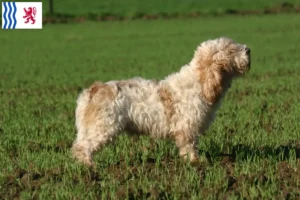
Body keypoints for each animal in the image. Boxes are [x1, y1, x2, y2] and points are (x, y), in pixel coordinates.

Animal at [71, 37, 251, 166]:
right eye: (231, 49)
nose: (249, 49)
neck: (199, 81)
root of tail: (92, 90)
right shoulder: (187, 128)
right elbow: (189, 146)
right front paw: (195, 162)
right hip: (103, 127)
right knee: (82, 147)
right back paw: (90, 167)